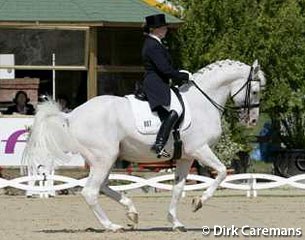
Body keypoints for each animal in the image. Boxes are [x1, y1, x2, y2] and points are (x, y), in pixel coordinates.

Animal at [23, 59, 264, 232]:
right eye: (255, 91)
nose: (252, 121)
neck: (202, 102)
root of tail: (71, 115)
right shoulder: (200, 149)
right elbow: (222, 171)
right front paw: (198, 201)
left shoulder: (186, 156)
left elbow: (178, 188)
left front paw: (175, 222)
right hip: (104, 158)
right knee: (90, 191)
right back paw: (112, 226)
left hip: (107, 158)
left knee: (103, 186)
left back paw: (132, 212)